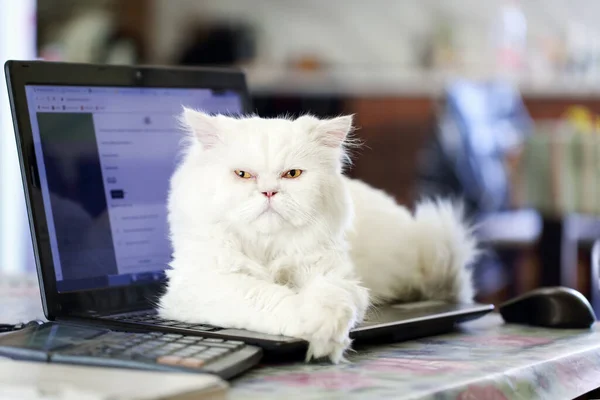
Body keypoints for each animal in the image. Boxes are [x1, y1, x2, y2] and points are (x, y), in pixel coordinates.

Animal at [157, 109, 476, 362]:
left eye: (292, 174)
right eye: (243, 175)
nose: (269, 192)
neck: (267, 249)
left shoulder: (336, 275)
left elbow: (329, 295)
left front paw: (327, 331)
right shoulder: (202, 283)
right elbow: (266, 295)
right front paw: (314, 328)